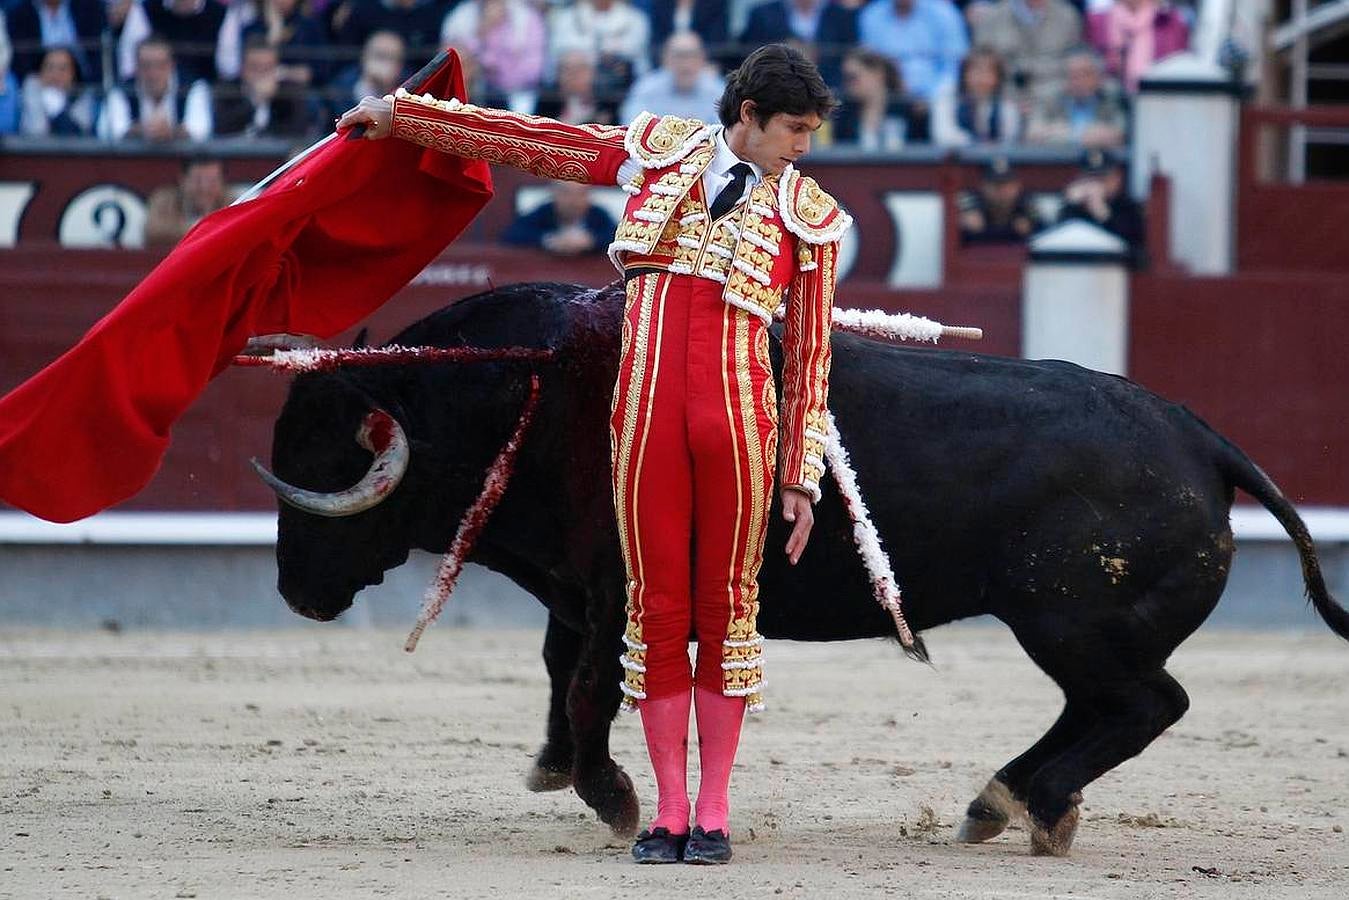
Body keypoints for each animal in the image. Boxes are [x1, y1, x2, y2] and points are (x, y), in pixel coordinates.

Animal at [263, 283, 1349, 858]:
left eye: (318, 466)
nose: (293, 593)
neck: (529, 395)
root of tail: (1201, 437)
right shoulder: (579, 594)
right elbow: (559, 678)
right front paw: (558, 770)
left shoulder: (616, 592)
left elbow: (586, 690)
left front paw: (611, 798)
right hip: (1074, 632)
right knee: (1108, 709)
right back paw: (1015, 804)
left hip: (1070, 625)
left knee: (1143, 704)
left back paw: (1017, 801)